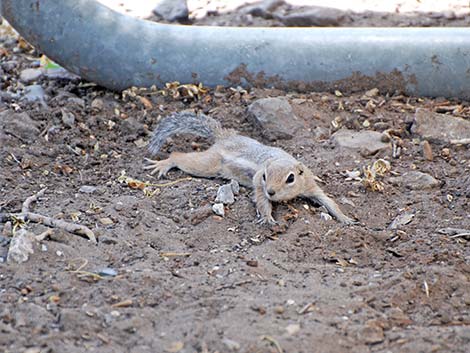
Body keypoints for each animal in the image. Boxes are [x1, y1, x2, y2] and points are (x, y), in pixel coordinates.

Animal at [143, 111, 356, 224]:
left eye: (291, 178)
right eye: (265, 176)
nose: (271, 191)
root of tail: (225, 136)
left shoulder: (309, 186)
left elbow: (328, 201)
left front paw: (345, 218)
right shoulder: (258, 185)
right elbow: (261, 200)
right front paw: (268, 217)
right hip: (209, 164)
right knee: (180, 157)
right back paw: (164, 163)